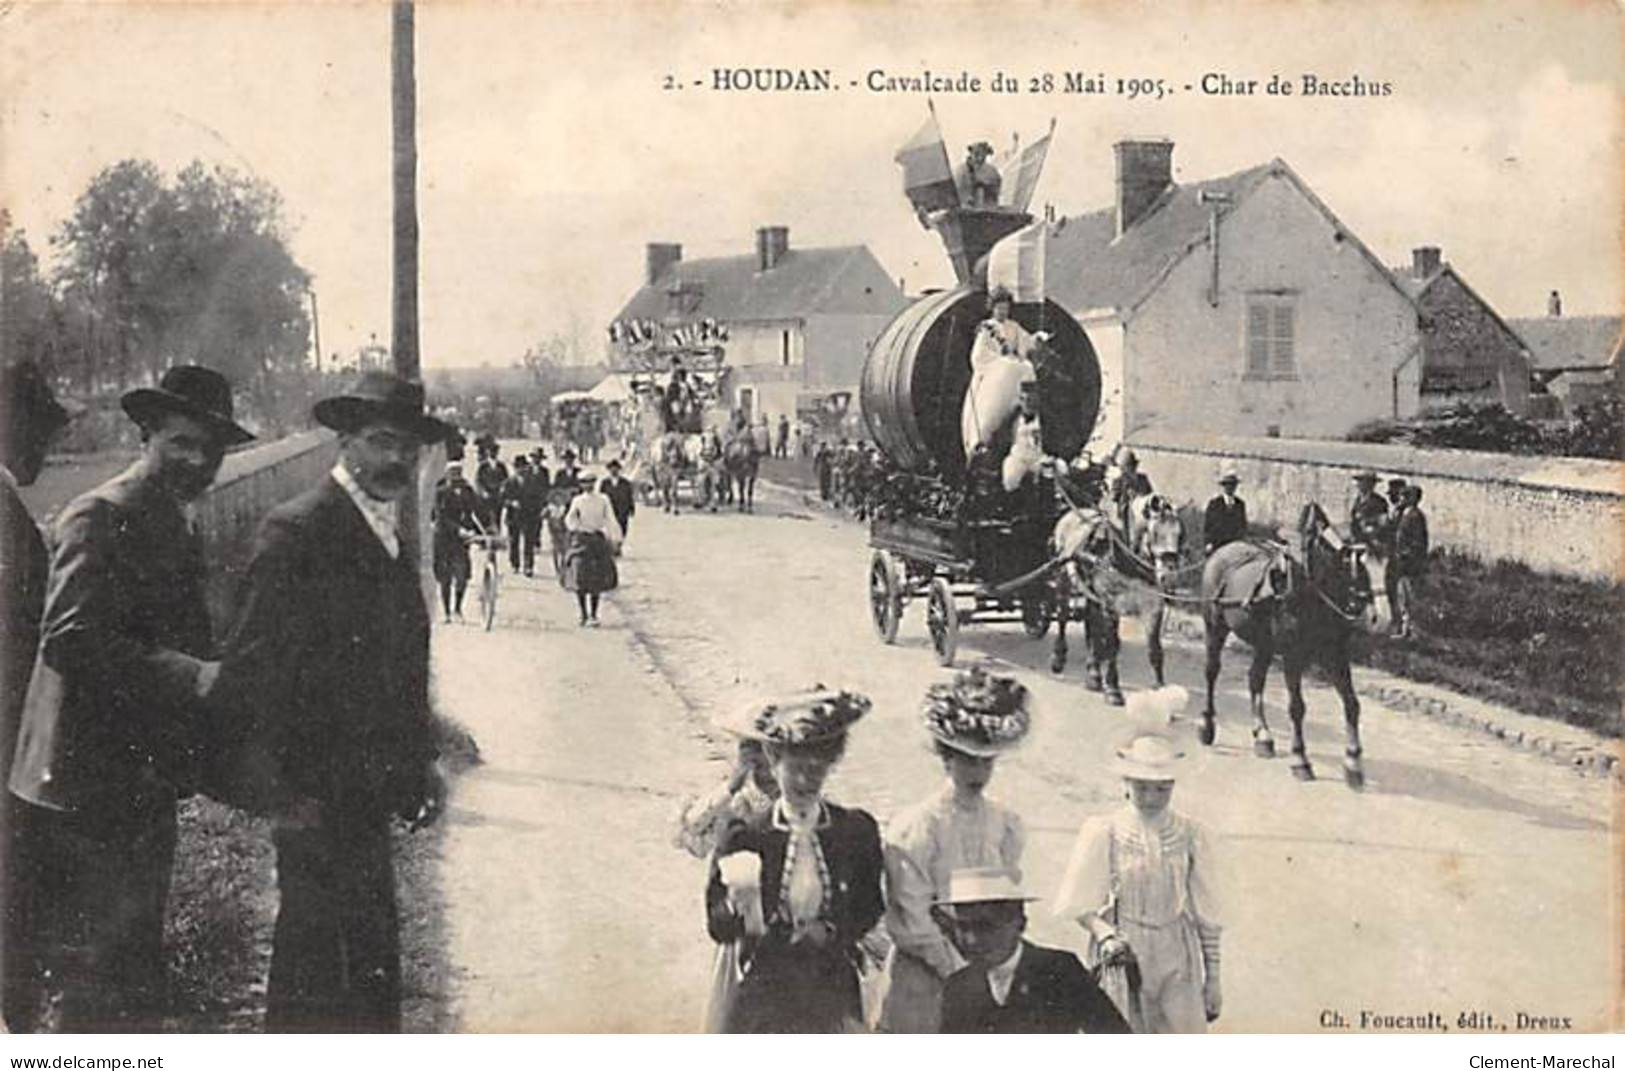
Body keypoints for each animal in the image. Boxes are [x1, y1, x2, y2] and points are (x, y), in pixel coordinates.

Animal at [1202, 503, 1391, 786]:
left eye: (1386, 560)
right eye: (1351, 562)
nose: (1377, 618)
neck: (1312, 590)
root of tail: (1223, 549)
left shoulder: (1335, 654)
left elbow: (1352, 704)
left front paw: (1353, 763)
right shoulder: (1293, 656)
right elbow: (1297, 707)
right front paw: (1301, 759)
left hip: (1264, 643)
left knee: (1255, 678)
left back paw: (1263, 736)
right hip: (1215, 626)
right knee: (1212, 670)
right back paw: (1207, 726)